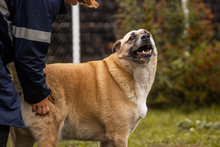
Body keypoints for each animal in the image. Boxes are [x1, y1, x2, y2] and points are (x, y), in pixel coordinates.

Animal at [10, 29, 158, 147]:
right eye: (131, 37)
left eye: (148, 33)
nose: (146, 36)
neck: (125, 71)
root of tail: (20, 83)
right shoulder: (118, 135)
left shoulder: (106, 139)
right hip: (49, 137)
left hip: (23, 139)